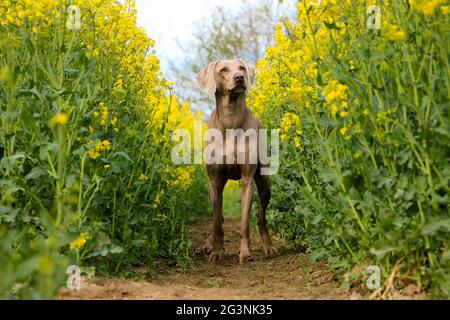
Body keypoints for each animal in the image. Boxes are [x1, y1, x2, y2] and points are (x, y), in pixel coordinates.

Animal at [196, 58, 278, 264]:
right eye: (223, 70)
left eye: (241, 68)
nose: (240, 77)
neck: (230, 119)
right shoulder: (215, 181)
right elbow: (217, 221)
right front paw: (216, 252)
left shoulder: (248, 179)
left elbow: (245, 222)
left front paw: (245, 253)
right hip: (212, 188)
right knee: (217, 218)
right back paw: (207, 246)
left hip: (265, 183)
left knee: (261, 217)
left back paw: (269, 247)